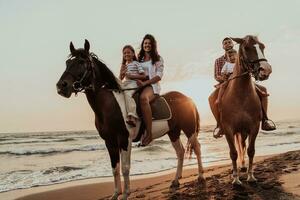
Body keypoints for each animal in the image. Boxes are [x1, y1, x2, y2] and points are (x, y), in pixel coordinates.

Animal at [56, 39, 204, 199]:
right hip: (173, 132)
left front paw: (126, 194)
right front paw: (115, 194)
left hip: (189, 129)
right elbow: (115, 168)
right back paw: (176, 181)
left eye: (82, 62)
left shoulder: (124, 139)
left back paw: (201, 177)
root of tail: (187, 98)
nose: (61, 86)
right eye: (67, 63)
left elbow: (125, 168)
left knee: (197, 148)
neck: (109, 105)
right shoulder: (110, 142)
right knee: (180, 152)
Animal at [209, 35, 272, 184]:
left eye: (262, 47)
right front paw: (236, 179)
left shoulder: (253, 127)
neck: (241, 96)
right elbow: (233, 153)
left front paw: (251, 176)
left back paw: (243, 167)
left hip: (243, 131)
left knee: (242, 145)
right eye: (247, 48)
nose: (266, 70)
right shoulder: (228, 129)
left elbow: (250, 150)